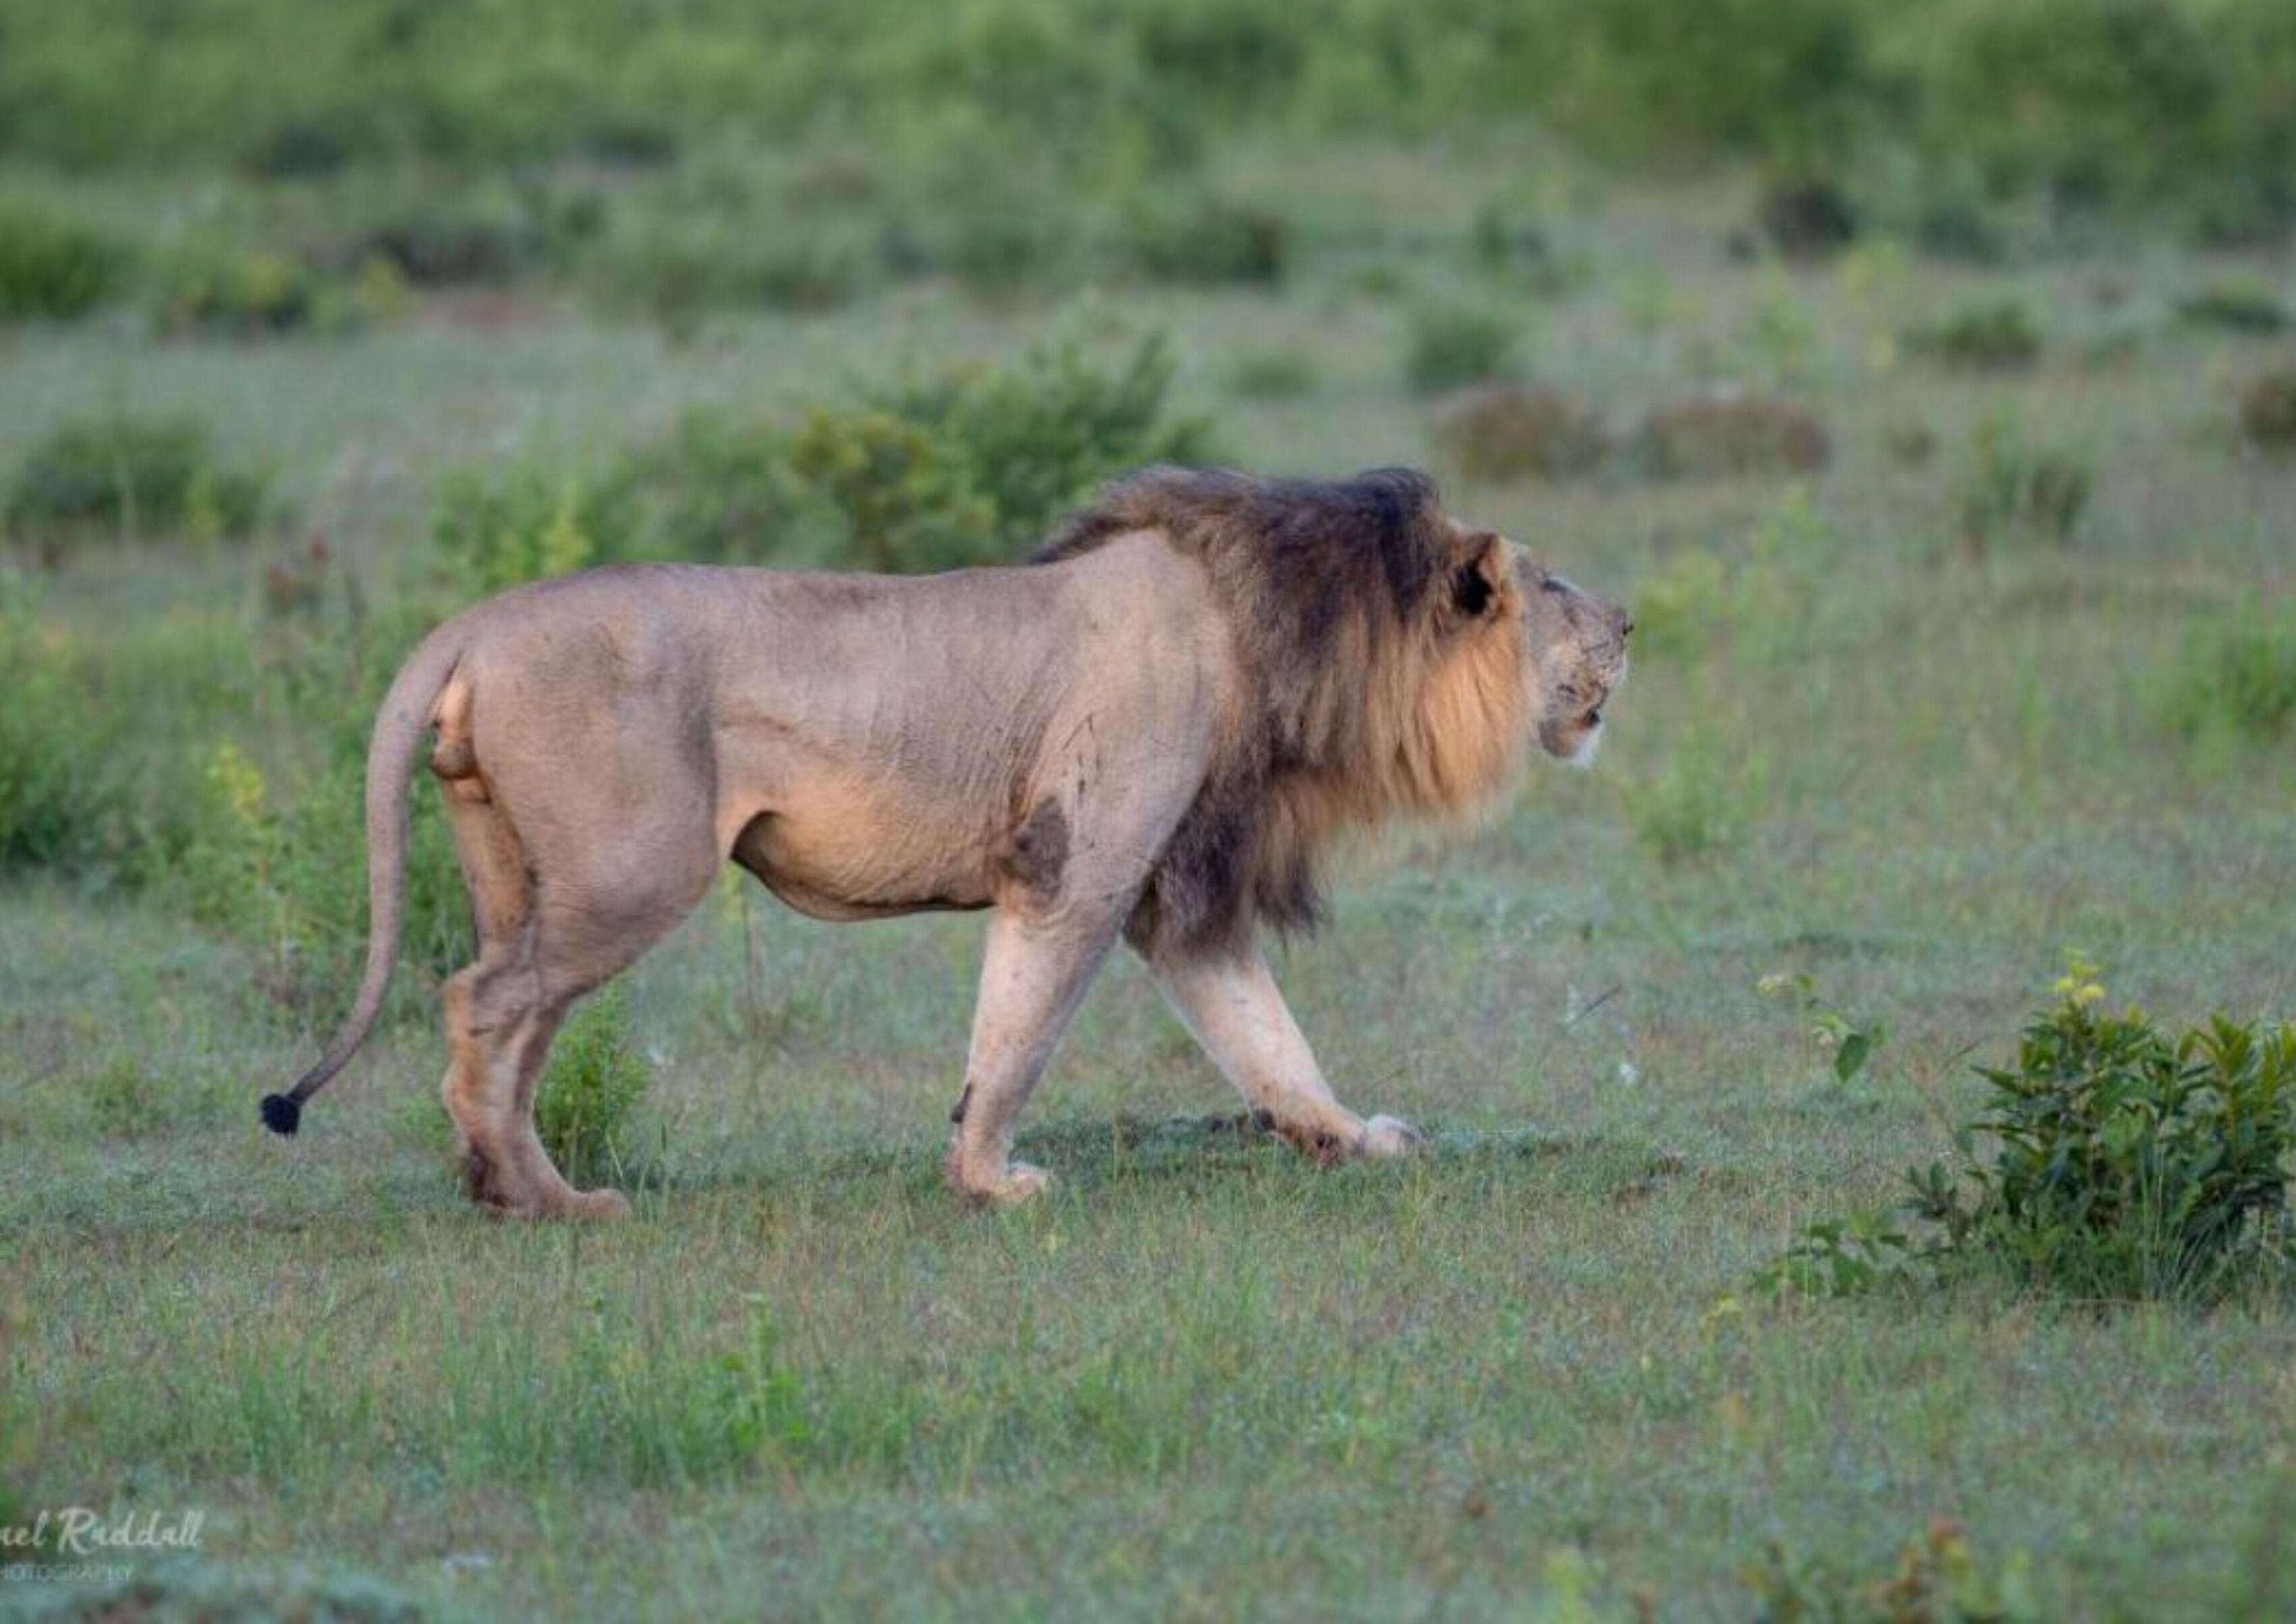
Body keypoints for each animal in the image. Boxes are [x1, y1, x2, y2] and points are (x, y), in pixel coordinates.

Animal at [260, 467, 1630, 1216]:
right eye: (1556, 585)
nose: (1631, 619)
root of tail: (470, 623)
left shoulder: (1179, 893)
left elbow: (1266, 1038)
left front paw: (1354, 1139)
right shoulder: (1079, 864)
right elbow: (1018, 1036)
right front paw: (989, 1181)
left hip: (524, 869)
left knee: (512, 1015)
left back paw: (523, 1184)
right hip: (635, 866)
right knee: (480, 1002)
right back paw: (532, 1199)